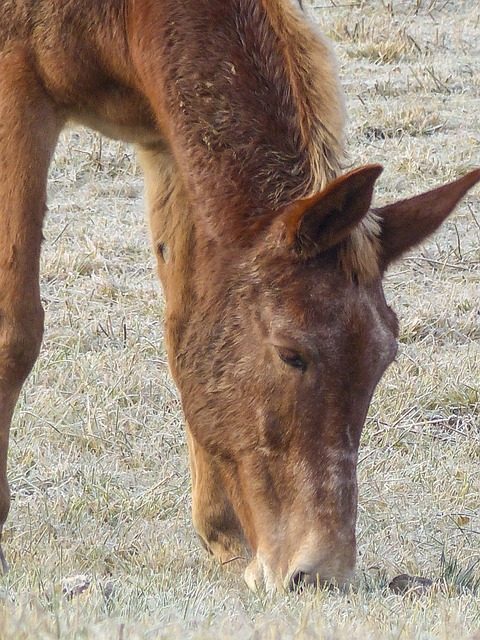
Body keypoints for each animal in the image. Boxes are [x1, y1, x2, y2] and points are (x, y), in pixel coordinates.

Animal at [0, 0, 478, 592]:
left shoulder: (166, 142)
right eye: (291, 354)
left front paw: (225, 536)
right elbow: (16, 331)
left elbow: (184, 330)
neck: (126, 20)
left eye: (383, 360)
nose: (320, 575)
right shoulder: (18, 88)